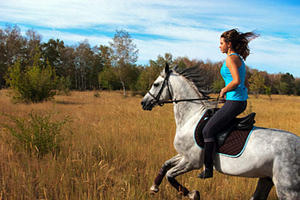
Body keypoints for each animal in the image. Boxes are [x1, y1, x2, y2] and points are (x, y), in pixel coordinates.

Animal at [141, 64, 300, 200]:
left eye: (156, 84)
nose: (143, 103)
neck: (191, 117)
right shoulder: (184, 155)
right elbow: (165, 165)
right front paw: (154, 187)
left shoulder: (192, 161)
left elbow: (170, 175)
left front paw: (193, 194)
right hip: (266, 179)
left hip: (287, 189)